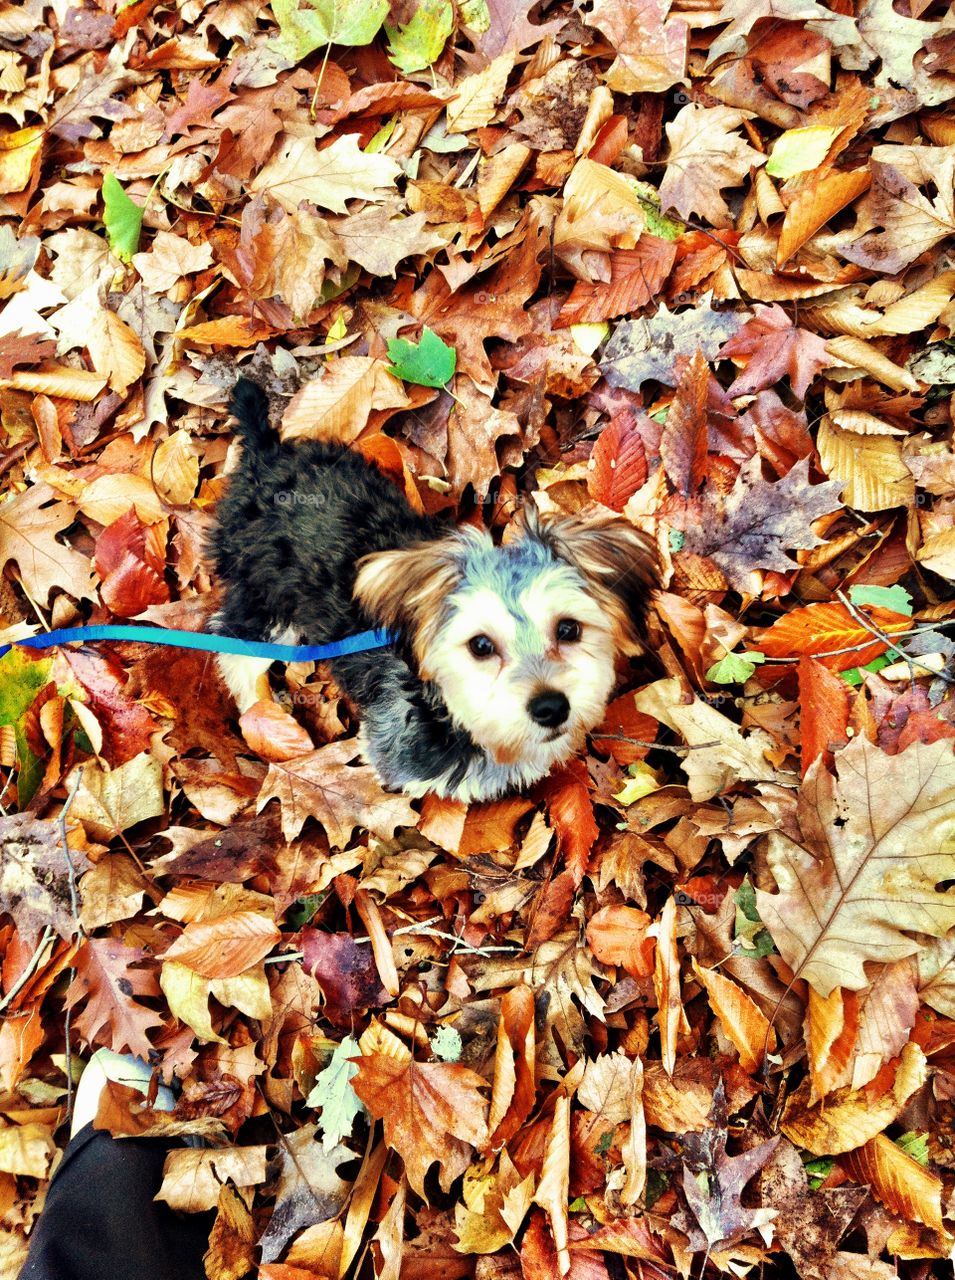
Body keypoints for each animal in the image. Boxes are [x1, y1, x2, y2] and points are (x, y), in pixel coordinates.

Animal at [207, 376, 655, 798]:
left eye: (568, 629)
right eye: (481, 645)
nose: (550, 707)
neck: (451, 713)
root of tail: (266, 454)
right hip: (261, 592)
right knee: (234, 642)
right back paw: (258, 706)